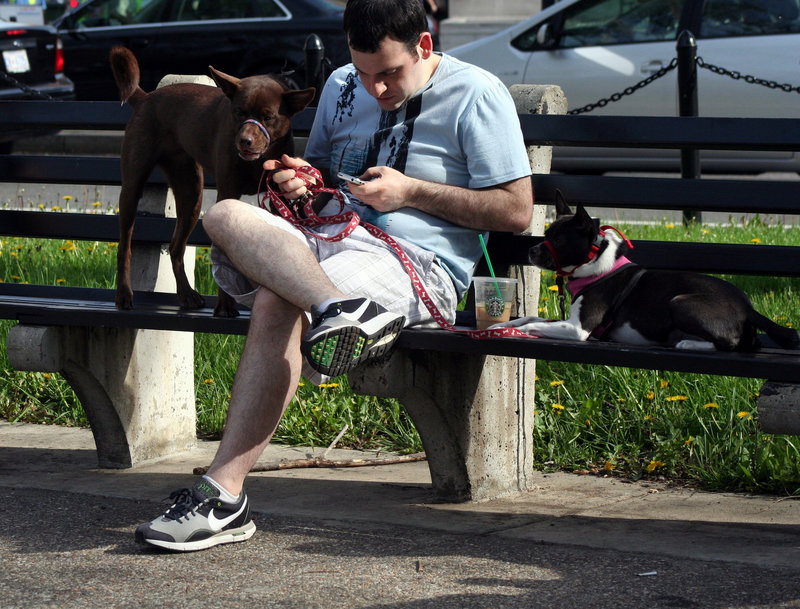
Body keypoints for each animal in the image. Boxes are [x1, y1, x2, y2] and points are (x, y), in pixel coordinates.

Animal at [109, 45, 316, 316]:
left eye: (268, 117)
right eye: (238, 113)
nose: (244, 141)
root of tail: (146, 98)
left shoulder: (276, 197)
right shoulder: (227, 193)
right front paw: (225, 305)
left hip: (191, 194)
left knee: (175, 247)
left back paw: (186, 295)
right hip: (133, 187)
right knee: (125, 246)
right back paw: (124, 294)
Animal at [500, 191, 800, 352]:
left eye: (559, 240)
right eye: (546, 233)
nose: (531, 251)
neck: (595, 266)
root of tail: (748, 307)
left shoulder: (578, 329)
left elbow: (535, 325)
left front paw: (521, 331)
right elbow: (531, 317)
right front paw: (501, 325)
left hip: (680, 302)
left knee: (732, 343)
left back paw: (687, 344)